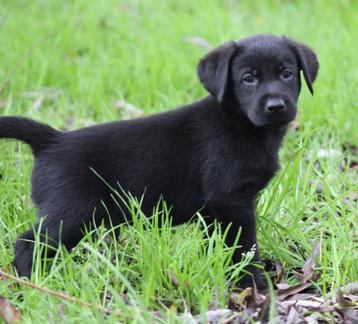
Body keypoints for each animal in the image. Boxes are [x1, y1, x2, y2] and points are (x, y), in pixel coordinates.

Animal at [0, 34, 318, 288]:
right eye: (248, 78)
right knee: (27, 244)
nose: (276, 106)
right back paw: (34, 284)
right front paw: (253, 284)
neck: (241, 123)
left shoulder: (213, 211)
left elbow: (218, 245)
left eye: (287, 73)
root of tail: (52, 139)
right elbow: (244, 247)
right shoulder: (231, 200)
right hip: (72, 213)